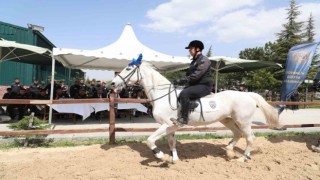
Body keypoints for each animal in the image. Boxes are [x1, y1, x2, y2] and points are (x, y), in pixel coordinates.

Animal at [111, 60, 278, 162]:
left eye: (128, 68)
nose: (112, 84)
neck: (163, 95)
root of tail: (247, 94)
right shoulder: (171, 126)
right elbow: (171, 142)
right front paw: (174, 159)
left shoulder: (166, 124)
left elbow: (150, 140)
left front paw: (161, 156)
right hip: (227, 120)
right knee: (238, 134)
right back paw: (229, 151)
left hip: (243, 121)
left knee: (249, 137)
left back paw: (243, 158)